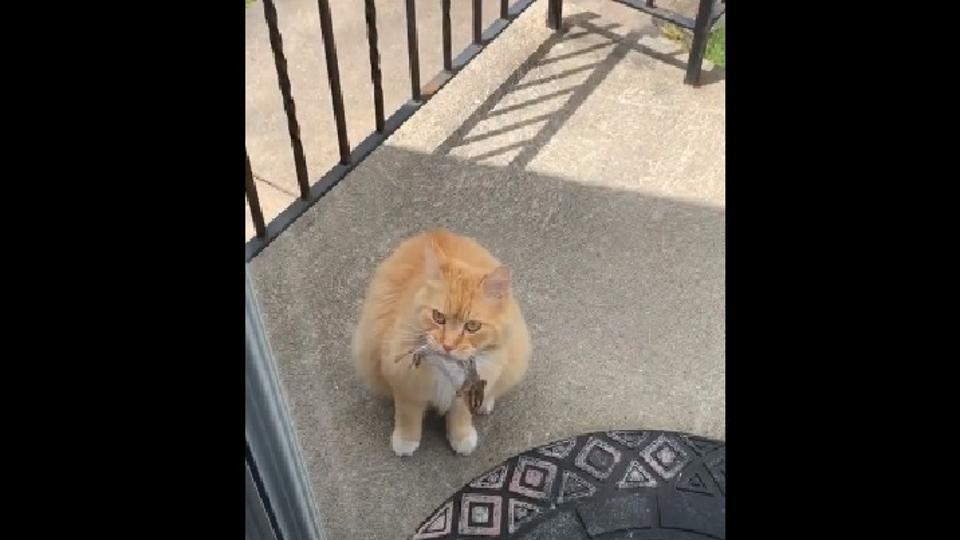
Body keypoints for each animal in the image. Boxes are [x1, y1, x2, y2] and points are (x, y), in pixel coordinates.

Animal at [352, 228, 532, 456]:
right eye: (438, 317)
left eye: (472, 326)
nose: (448, 345)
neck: (447, 367)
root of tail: (437, 232)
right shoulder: (405, 382)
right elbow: (407, 416)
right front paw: (406, 441)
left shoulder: (468, 387)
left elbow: (461, 415)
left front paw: (462, 437)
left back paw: (484, 403)